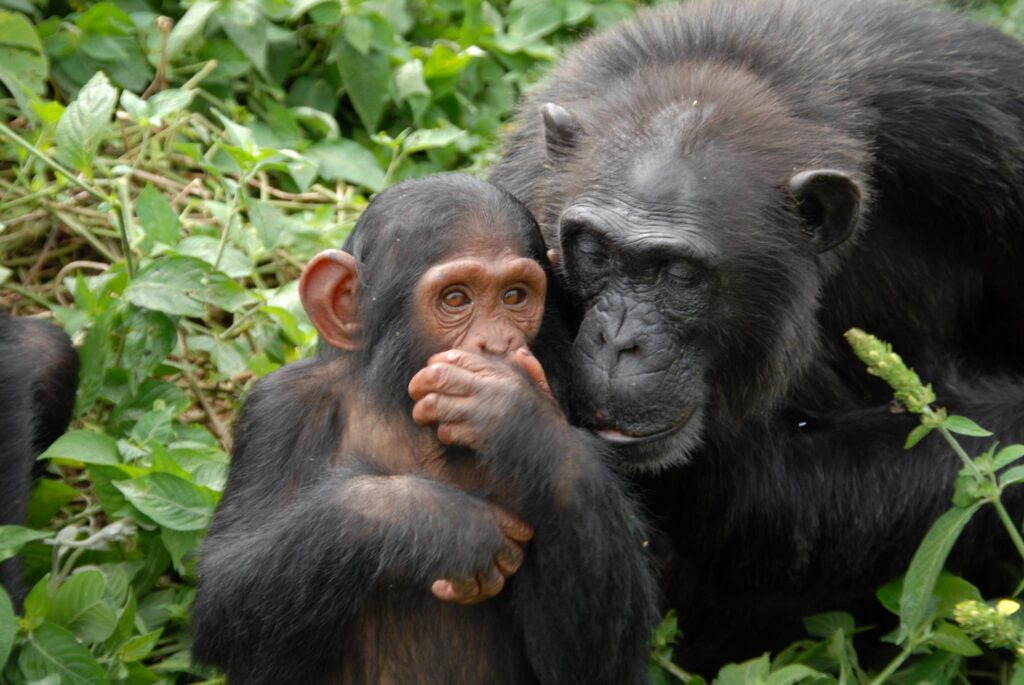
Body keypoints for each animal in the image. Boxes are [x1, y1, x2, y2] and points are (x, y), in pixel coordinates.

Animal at [192, 174, 655, 679]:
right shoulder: (275, 412)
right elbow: (225, 589)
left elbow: (596, 660)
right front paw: (439, 522)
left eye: (515, 296)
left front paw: (513, 414)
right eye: (456, 298)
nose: (498, 343)